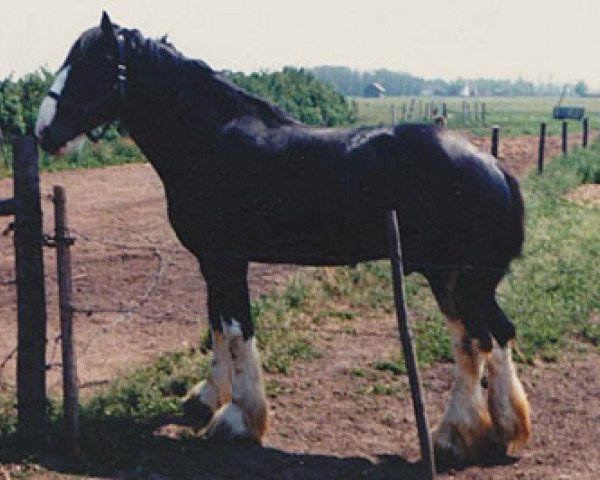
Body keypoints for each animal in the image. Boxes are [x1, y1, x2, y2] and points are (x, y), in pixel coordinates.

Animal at [36, 13, 528, 466]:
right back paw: (504, 431)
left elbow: (238, 331)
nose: (43, 132)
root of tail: (493, 165)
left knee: (474, 342)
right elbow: (216, 324)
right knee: (496, 335)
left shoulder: (228, 259)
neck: (209, 139)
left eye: (96, 64)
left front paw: (238, 420)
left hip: (453, 278)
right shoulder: (211, 262)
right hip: (466, 283)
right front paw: (207, 398)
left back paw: (453, 437)